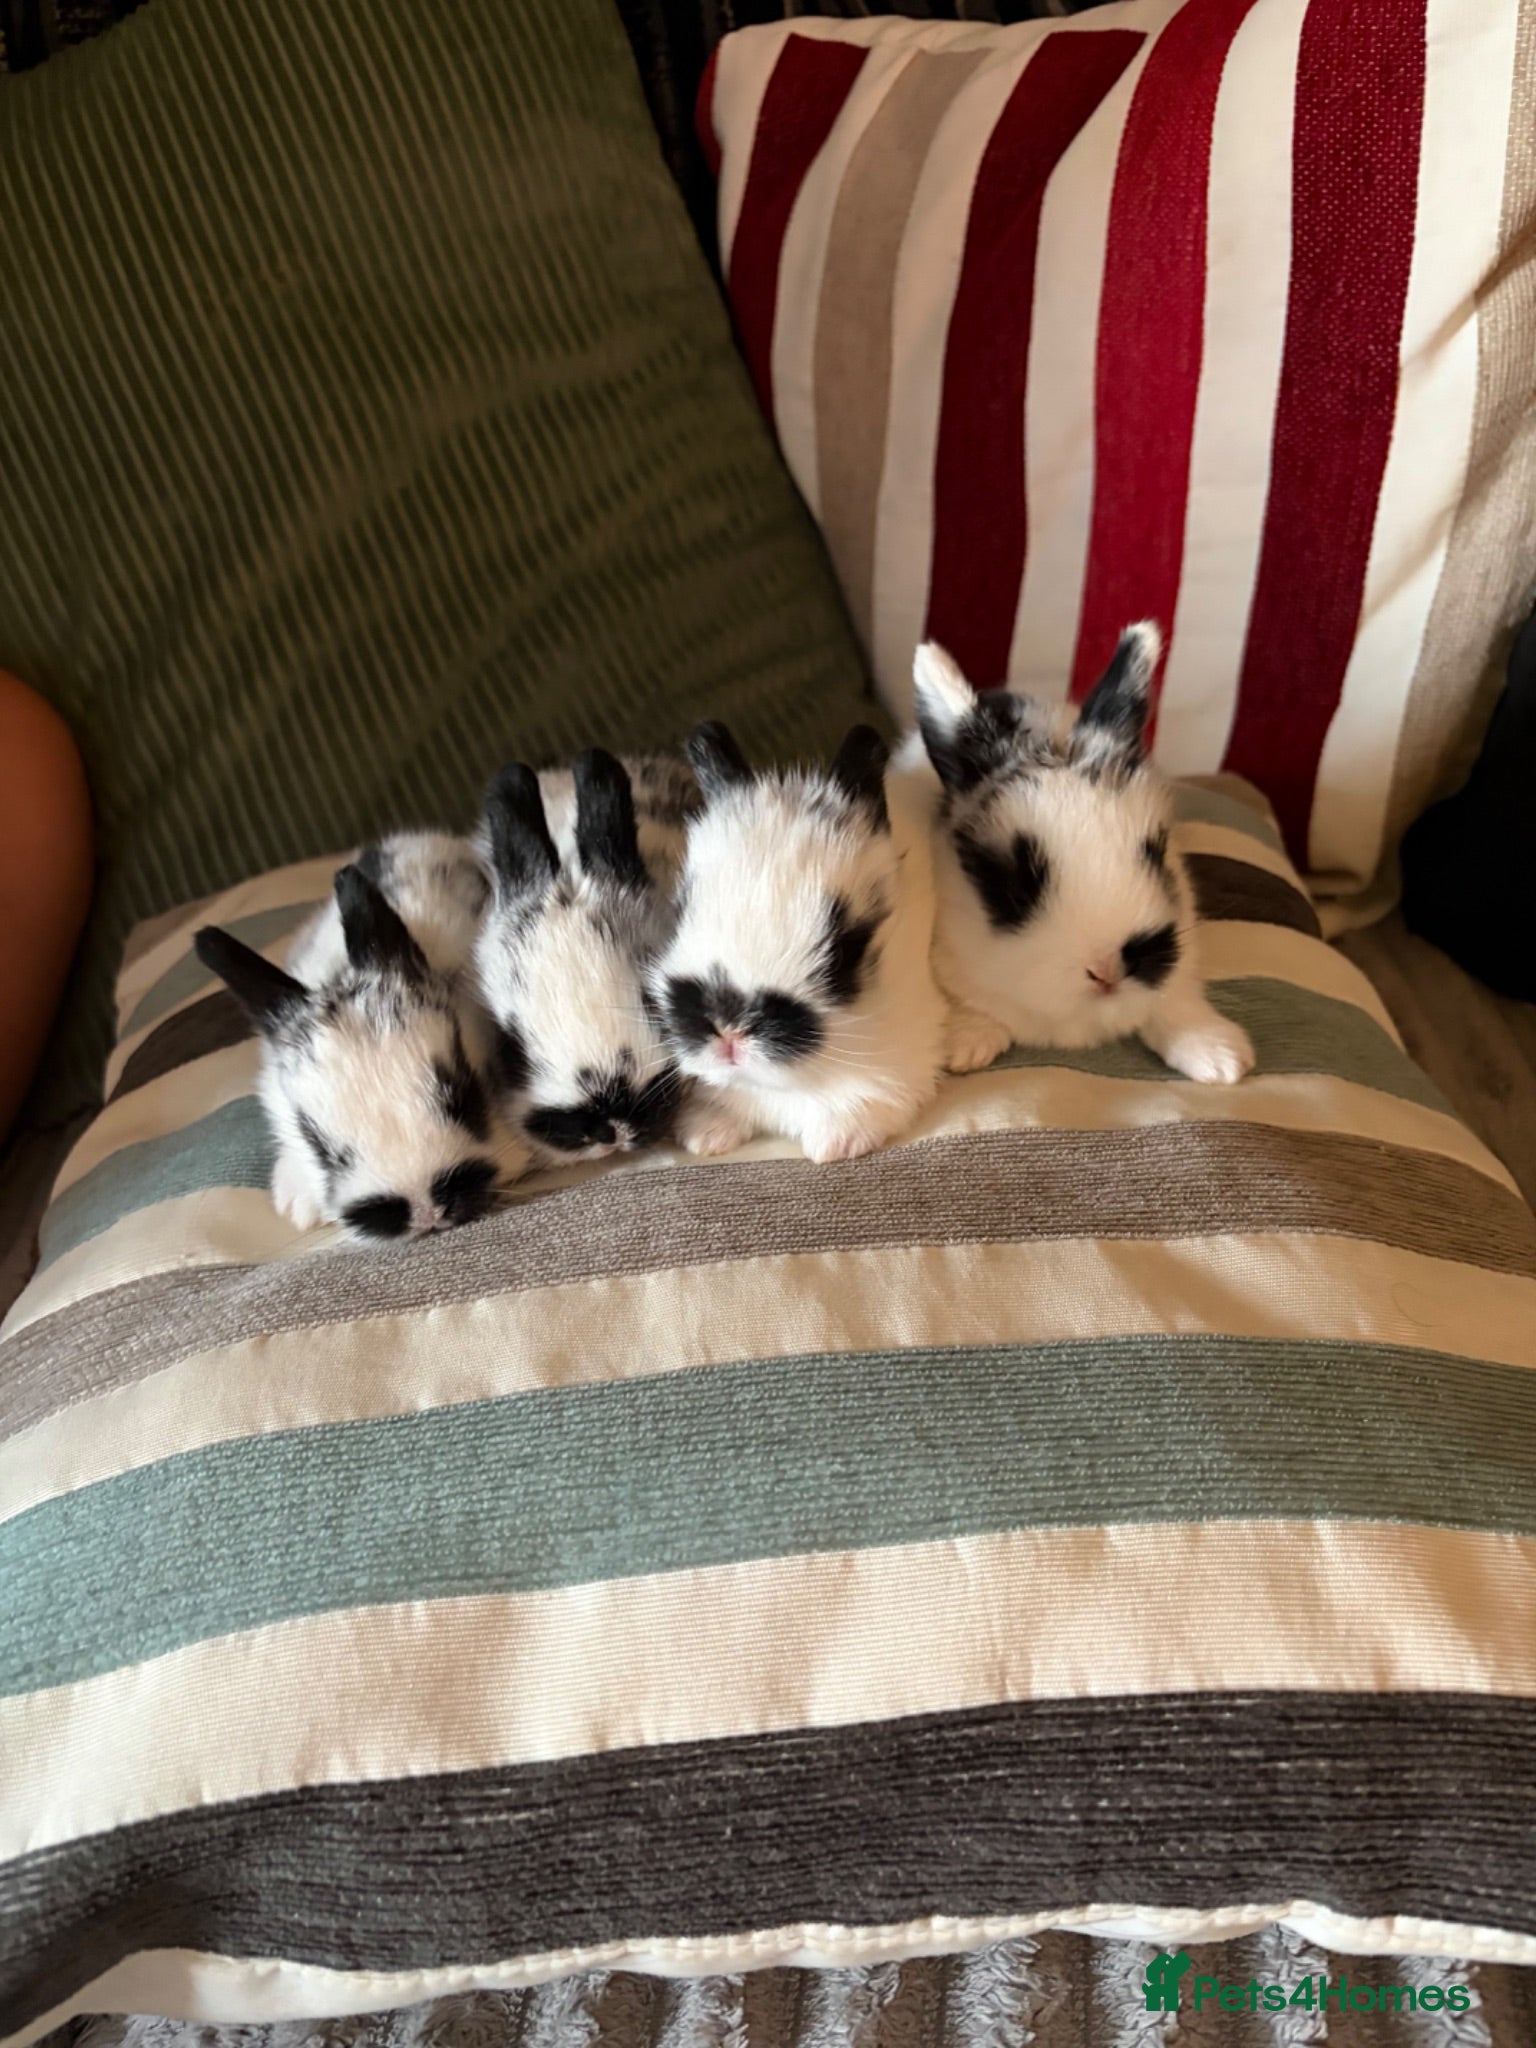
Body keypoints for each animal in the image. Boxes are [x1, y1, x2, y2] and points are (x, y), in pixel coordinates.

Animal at [898, 623, 1255, 1085]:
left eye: (1156, 852)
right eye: (1015, 887)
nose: (1109, 971)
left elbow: (1176, 1003)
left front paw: (1222, 1059)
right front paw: (964, 1045)